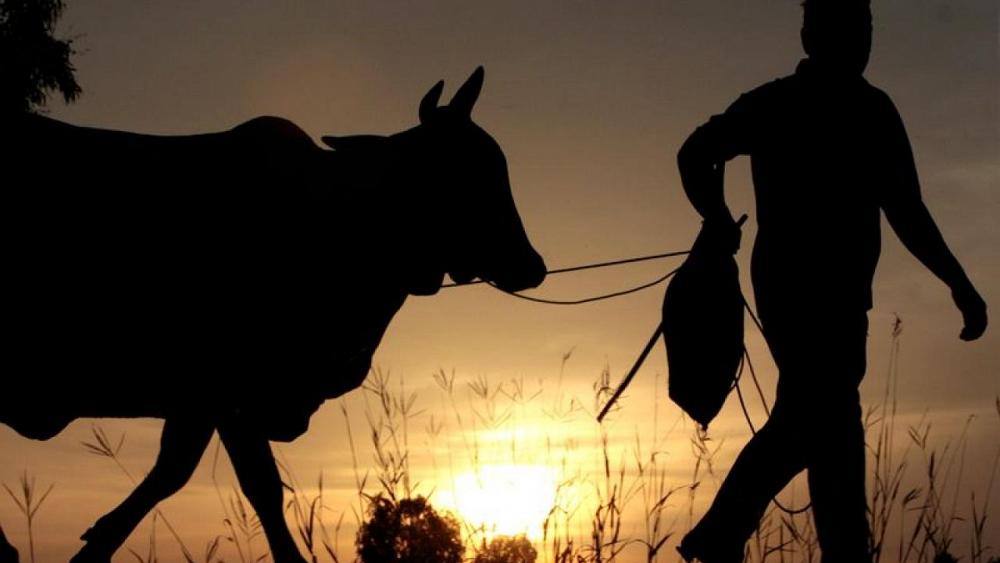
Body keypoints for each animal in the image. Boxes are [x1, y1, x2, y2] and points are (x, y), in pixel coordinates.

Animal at [0, 67, 547, 563]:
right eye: (466, 173)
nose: (532, 265)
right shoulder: (223, 390)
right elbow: (244, 483)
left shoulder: (215, 399)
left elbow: (193, 476)